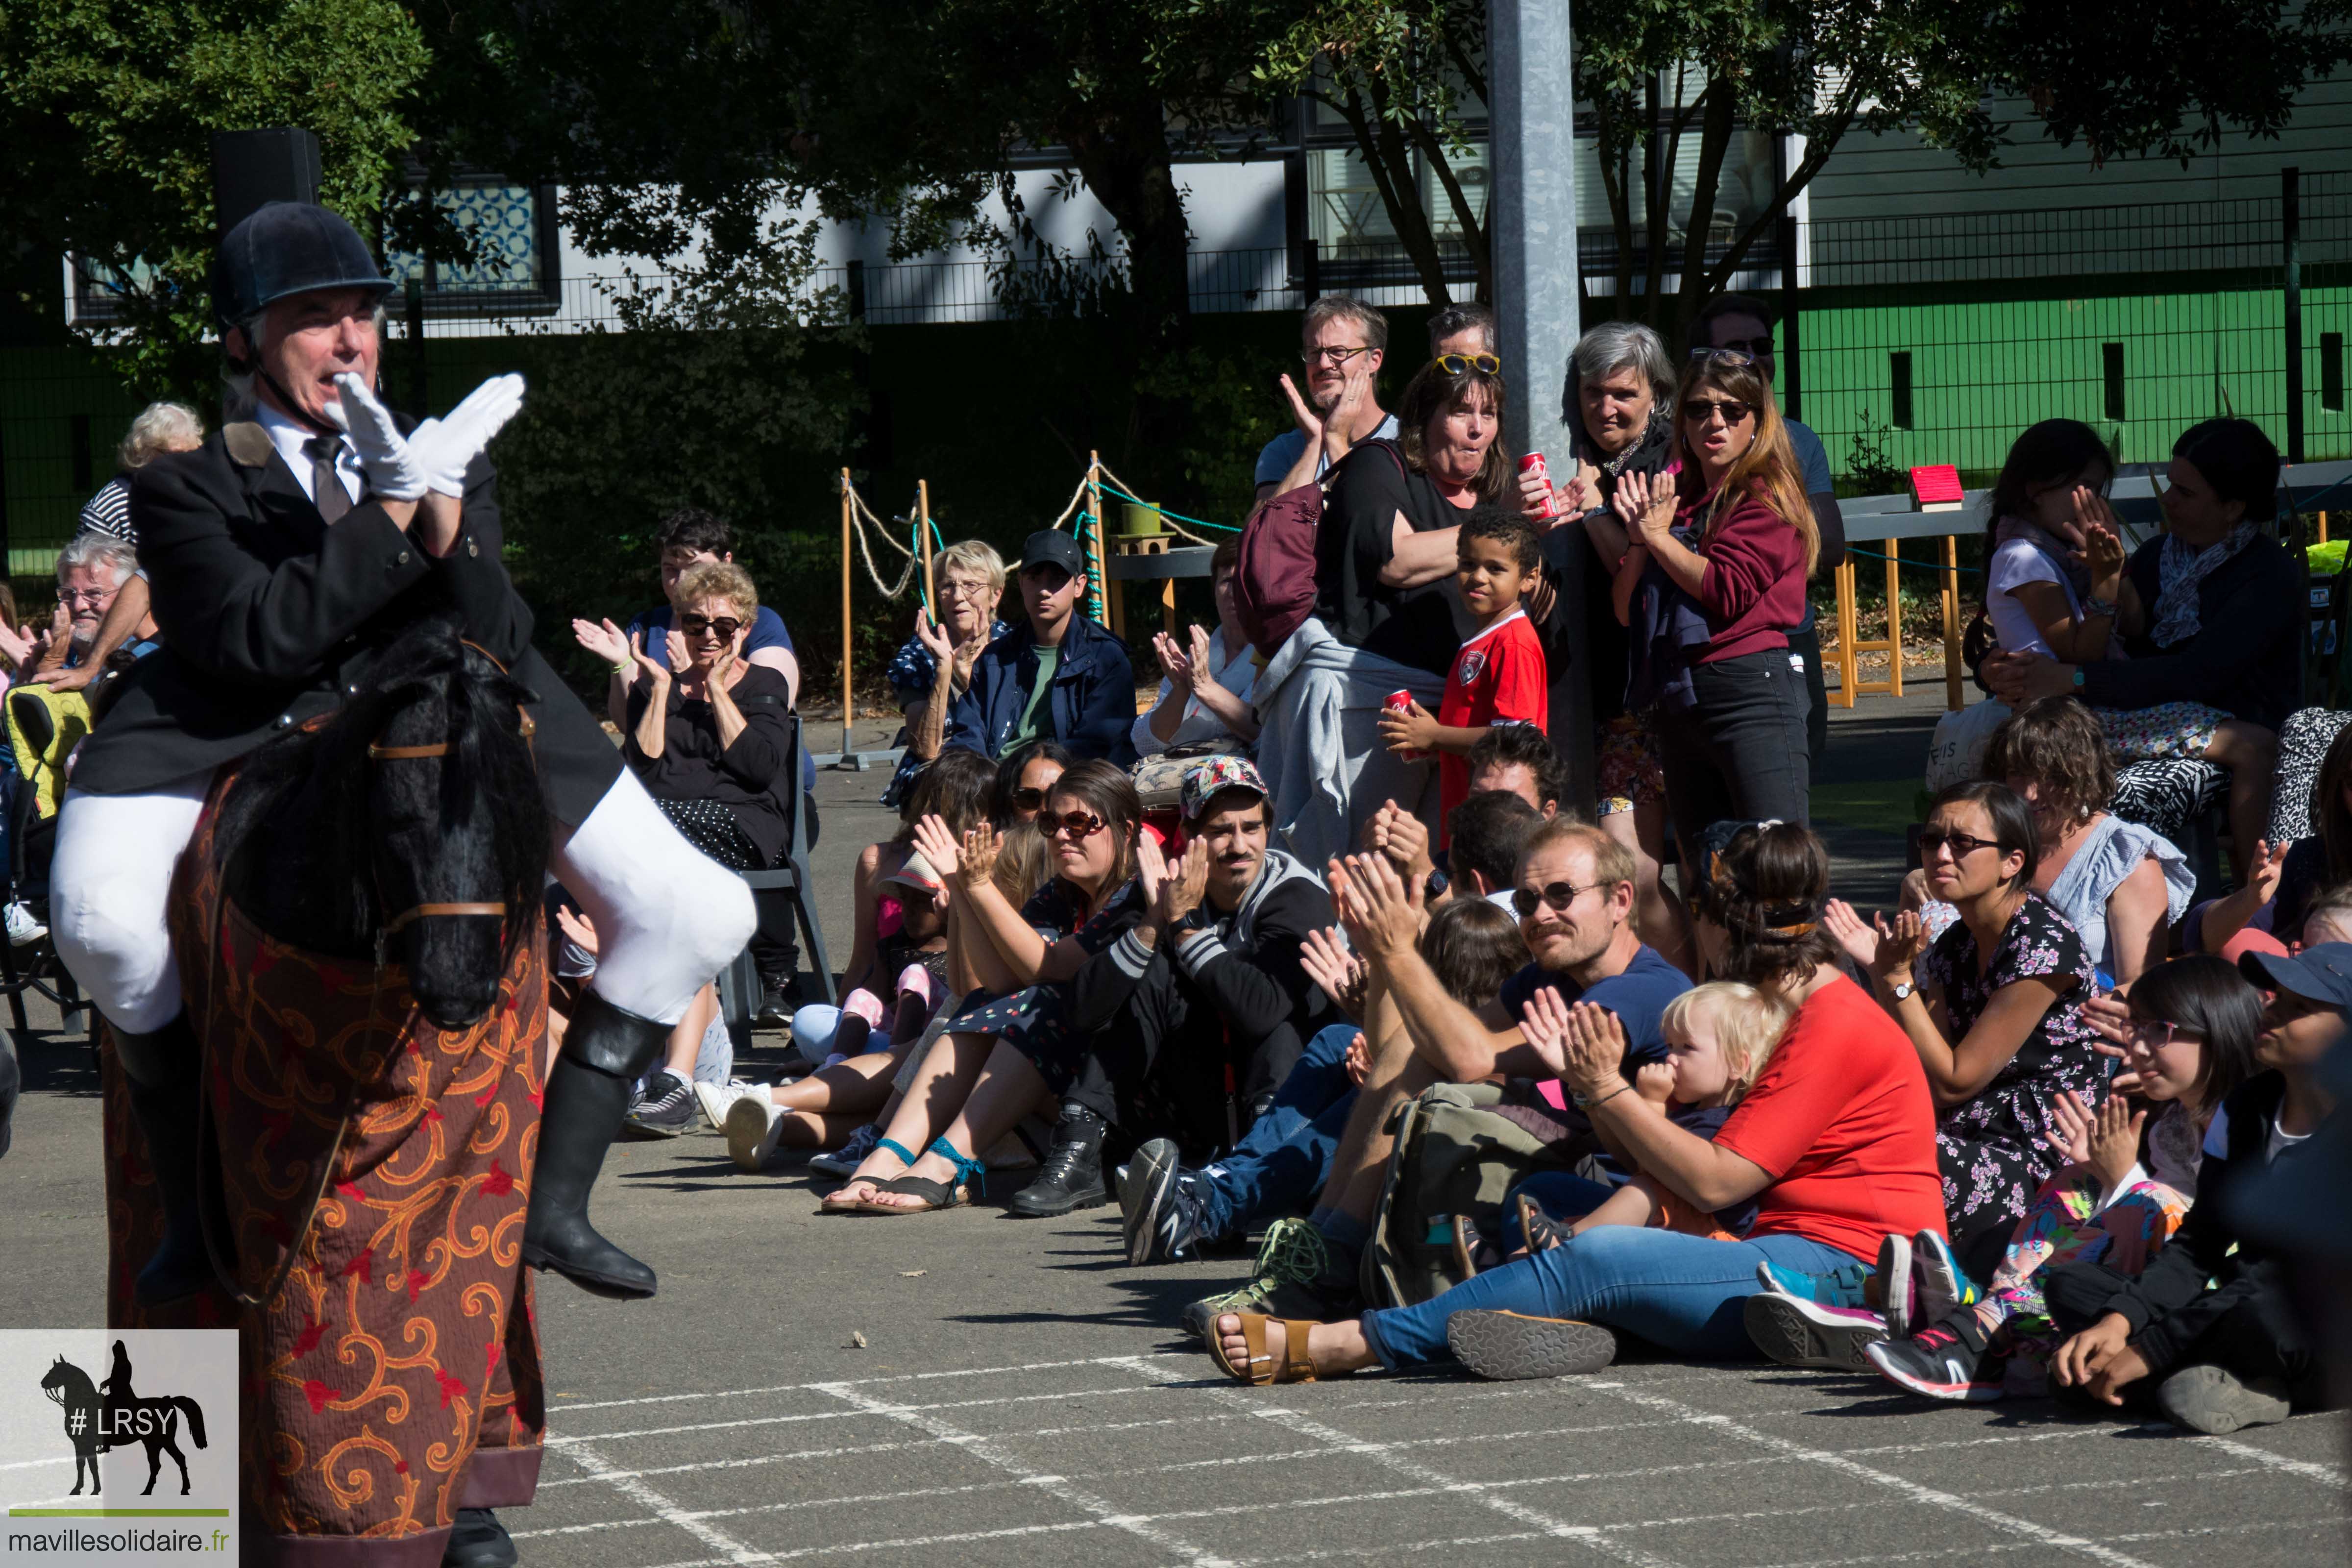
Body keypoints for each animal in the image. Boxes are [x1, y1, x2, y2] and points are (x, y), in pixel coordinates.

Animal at [37, 1363, 100, 1495]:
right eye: (51, 1370)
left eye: (57, 1372)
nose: (42, 1383)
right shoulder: (78, 1444)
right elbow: (80, 1464)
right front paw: (77, 1489)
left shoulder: (89, 1444)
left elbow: (93, 1466)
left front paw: (96, 1490)